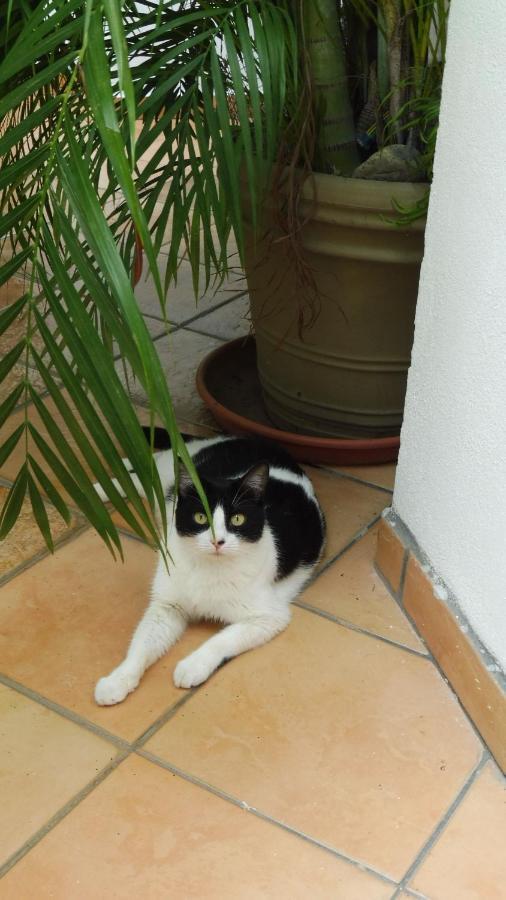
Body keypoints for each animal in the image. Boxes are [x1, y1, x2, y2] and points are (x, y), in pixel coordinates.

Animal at [94, 428, 324, 704]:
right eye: (200, 517)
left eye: (238, 519)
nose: (217, 541)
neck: (208, 568)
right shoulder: (167, 606)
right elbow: (141, 645)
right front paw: (118, 679)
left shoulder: (269, 616)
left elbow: (222, 639)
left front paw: (193, 666)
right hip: (168, 477)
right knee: (147, 467)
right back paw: (94, 487)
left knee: (143, 472)